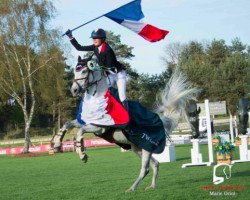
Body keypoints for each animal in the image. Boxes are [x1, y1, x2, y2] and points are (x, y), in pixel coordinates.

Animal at [50, 55, 199, 191]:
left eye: (85, 71)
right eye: (75, 71)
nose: (74, 90)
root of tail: (161, 122)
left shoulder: (99, 128)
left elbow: (80, 131)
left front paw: (82, 155)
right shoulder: (86, 122)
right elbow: (67, 124)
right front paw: (56, 145)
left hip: (147, 148)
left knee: (145, 169)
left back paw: (131, 189)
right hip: (136, 148)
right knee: (155, 164)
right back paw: (151, 186)